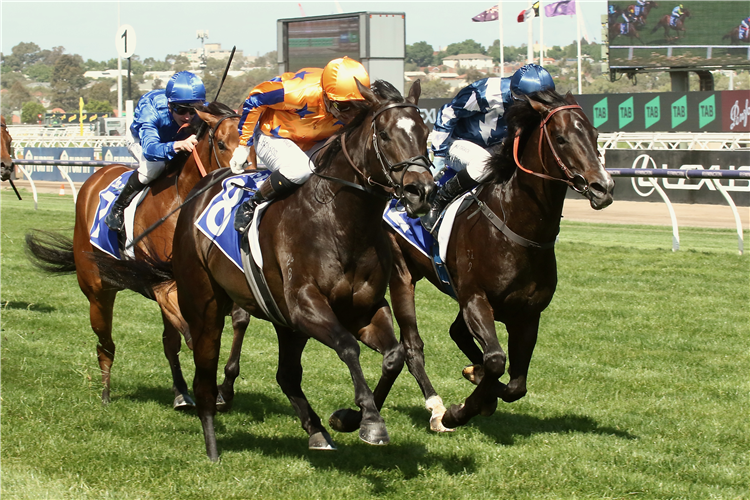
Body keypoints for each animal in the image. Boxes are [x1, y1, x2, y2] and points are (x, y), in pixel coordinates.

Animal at [25, 101, 242, 410]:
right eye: (222, 144)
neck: (182, 200)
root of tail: (94, 178)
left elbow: (234, 323)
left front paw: (224, 389)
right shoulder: (163, 283)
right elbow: (191, 334)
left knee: (168, 341)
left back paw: (181, 392)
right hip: (97, 291)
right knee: (106, 343)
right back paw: (105, 392)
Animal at [100, 80, 438, 458]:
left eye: (425, 132)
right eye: (384, 134)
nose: (421, 191)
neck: (340, 222)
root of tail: (200, 189)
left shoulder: (363, 309)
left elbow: (395, 355)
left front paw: (351, 418)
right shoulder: (306, 306)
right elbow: (348, 347)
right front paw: (370, 420)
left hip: (284, 322)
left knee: (286, 375)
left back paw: (317, 431)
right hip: (206, 304)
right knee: (208, 368)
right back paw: (212, 438)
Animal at [384, 90, 612, 430]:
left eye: (595, 135)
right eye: (560, 138)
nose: (603, 187)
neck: (516, 227)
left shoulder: (527, 314)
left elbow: (516, 385)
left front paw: (481, 388)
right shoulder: (476, 300)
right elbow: (495, 360)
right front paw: (457, 412)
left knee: (457, 332)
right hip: (402, 274)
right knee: (413, 347)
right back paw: (437, 408)